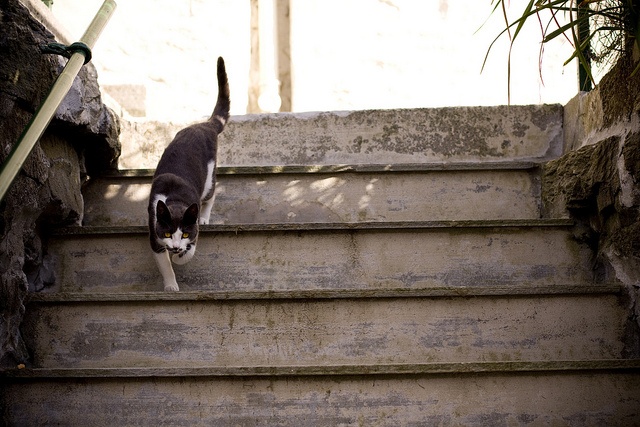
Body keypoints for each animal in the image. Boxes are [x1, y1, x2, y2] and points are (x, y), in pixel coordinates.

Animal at [148, 56, 230, 290]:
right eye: (168, 233)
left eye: (184, 232)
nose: (176, 246)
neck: (174, 199)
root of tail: (204, 125)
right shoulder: (154, 232)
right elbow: (164, 263)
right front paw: (170, 285)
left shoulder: (193, 232)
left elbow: (189, 251)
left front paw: (179, 257)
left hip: (209, 178)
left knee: (211, 195)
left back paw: (205, 217)